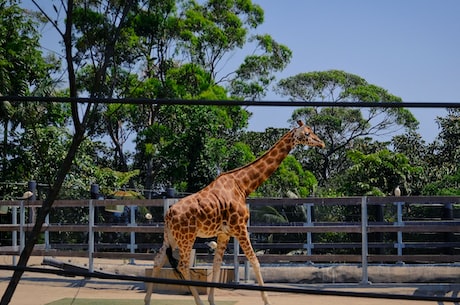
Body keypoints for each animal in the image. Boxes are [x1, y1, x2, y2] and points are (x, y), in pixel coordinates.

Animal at [144, 120, 324, 304]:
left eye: (311, 131)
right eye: (307, 133)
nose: (321, 143)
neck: (242, 185)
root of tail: (168, 214)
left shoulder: (224, 233)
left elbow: (217, 264)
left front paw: (212, 300)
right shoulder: (240, 227)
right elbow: (254, 260)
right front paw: (267, 300)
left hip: (170, 237)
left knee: (158, 260)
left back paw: (147, 300)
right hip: (187, 237)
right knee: (182, 265)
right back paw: (197, 301)